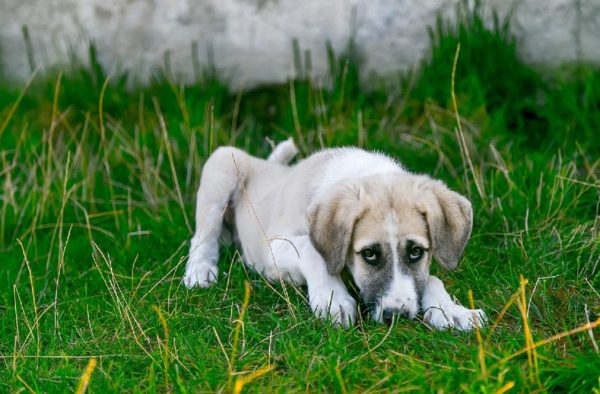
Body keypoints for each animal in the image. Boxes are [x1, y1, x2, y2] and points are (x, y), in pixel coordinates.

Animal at [184, 139, 488, 330]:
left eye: (416, 252)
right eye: (369, 254)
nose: (397, 316)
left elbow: (432, 278)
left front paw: (451, 310)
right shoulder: (271, 248)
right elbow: (311, 250)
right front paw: (333, 298)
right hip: (223, 162)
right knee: (202, 234)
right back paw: (200, 270)